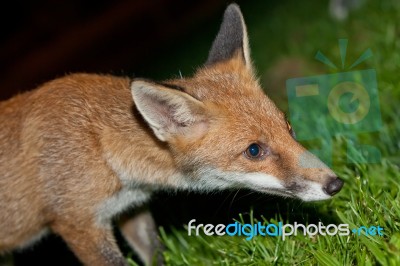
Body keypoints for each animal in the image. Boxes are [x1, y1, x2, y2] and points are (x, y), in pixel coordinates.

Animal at [0, 4, 344, 266]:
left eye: (289, 128)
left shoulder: (132, 209)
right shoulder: (79, 226)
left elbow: (156, 254)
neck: (100, 146)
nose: (336, 183)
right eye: (254, 150)